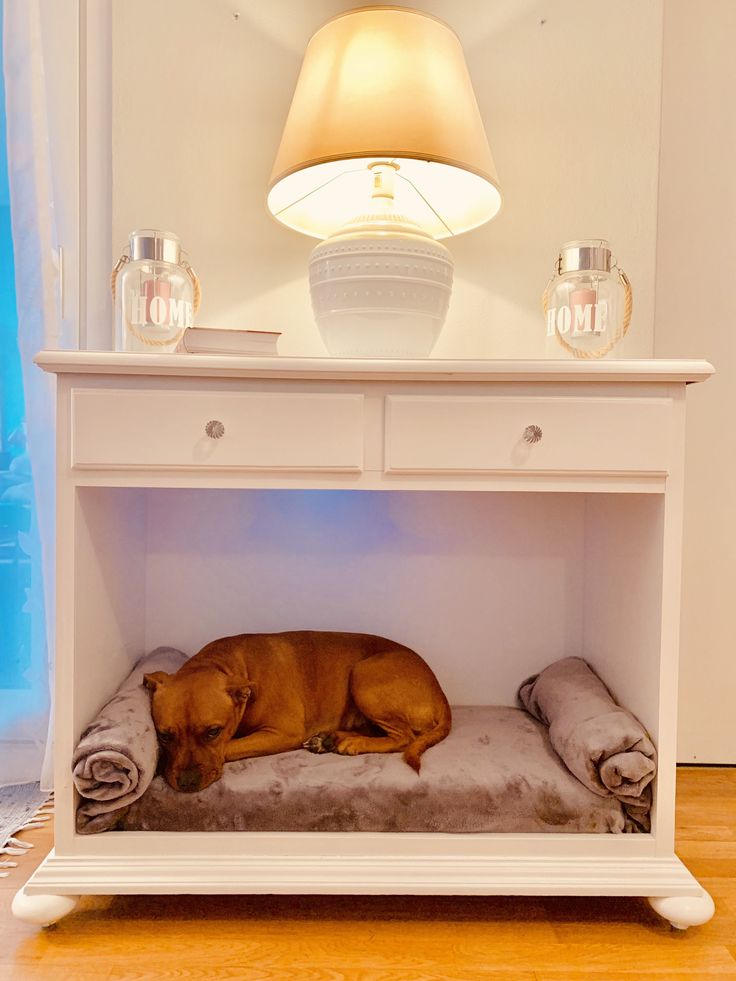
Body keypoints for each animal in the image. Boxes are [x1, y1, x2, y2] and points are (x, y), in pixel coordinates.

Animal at [143, 632, 448, 792]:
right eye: (164, 736)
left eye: (213, 732)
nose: (187, 783)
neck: (225, 664)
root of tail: (440, 693)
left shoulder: (281, 733)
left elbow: (230, 747)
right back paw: (332, 738)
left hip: (364, 675)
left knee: (403, 737)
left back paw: (352, 743)